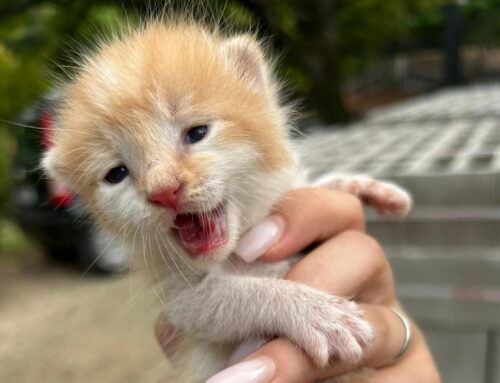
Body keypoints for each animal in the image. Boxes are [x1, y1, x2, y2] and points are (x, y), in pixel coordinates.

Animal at [42, 18, 410, 383]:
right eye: (116, 173)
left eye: (196, 133)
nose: (164, 190)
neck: (235, 249)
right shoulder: (183, 301)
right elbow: (241, 295)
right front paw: (314, 313)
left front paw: (361, 186)